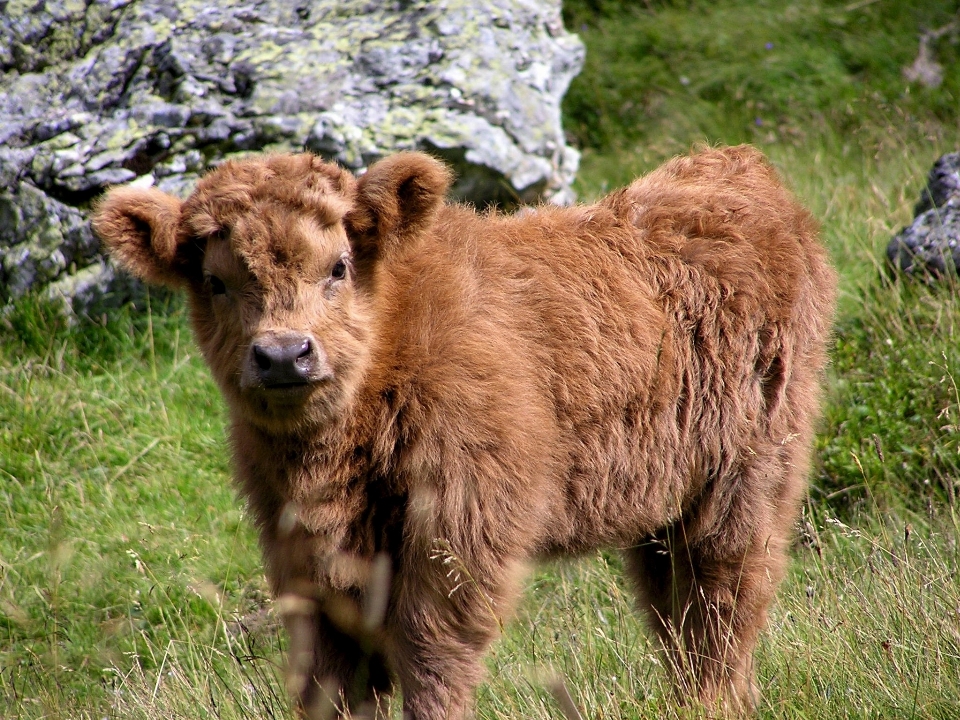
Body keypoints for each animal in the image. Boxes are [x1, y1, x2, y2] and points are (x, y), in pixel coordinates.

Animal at [94, 145, 836, 716]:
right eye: (215, 281)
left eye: (338, 266)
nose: (282, 354)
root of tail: (734, 166)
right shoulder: (300, 554)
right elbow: (329, 677)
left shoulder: (459, 530)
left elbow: (432, 657)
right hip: (663, 503)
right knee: (675, 613)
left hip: (749, 474)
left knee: (723, 604)